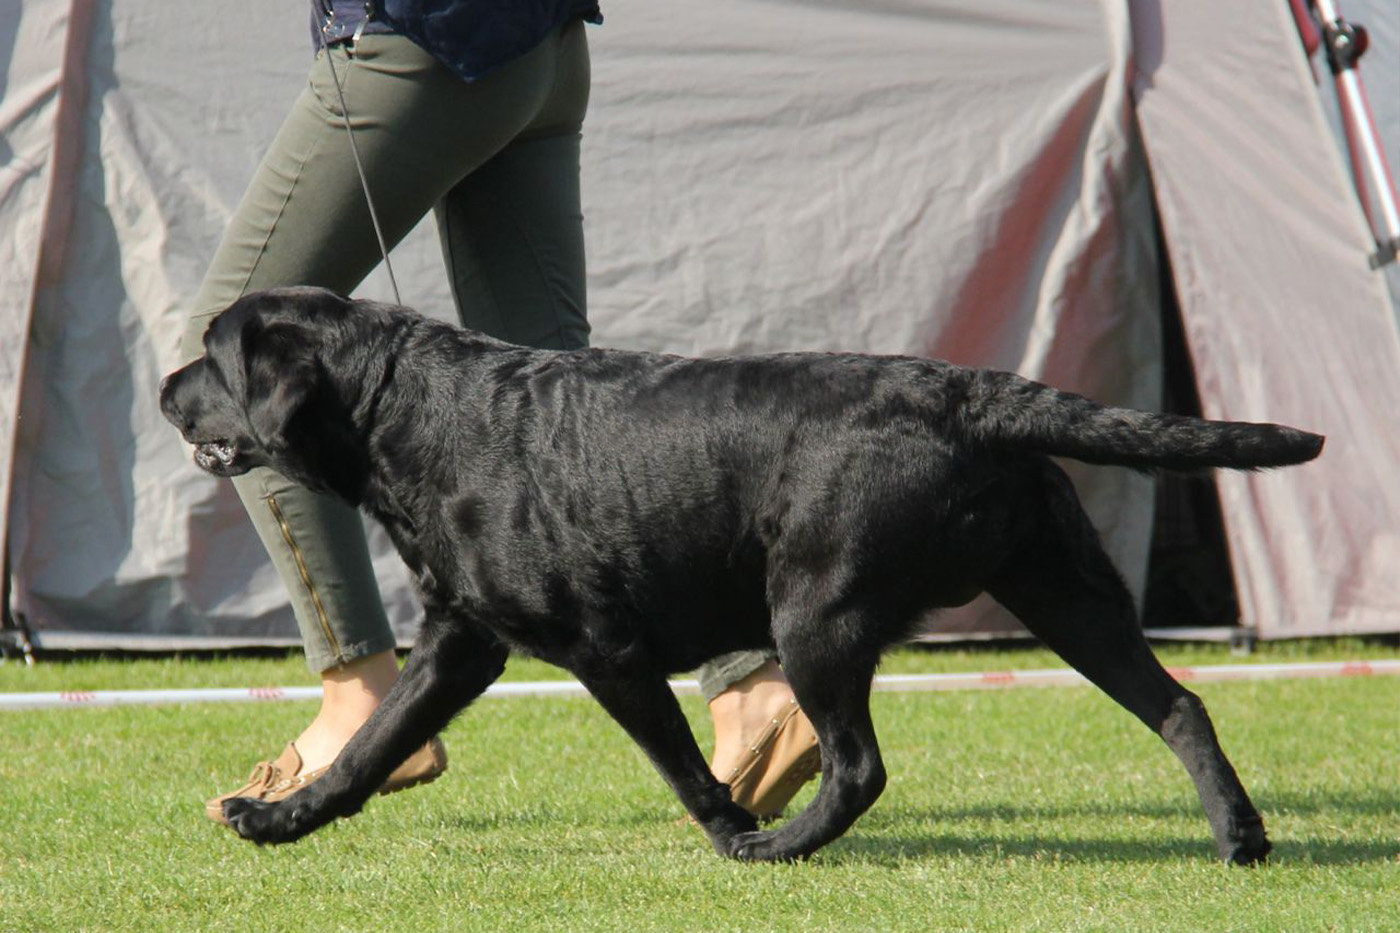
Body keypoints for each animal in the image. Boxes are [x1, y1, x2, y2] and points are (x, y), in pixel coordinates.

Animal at [158, 287, 1316, 862]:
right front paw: (277, 818)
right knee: (1179, 706)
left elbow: (678, 762)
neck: (410, 411)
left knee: (858, 766)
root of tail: (973, 391)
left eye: (214, 354)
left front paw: (728, 829)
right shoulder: (461, 640)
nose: (166, 389)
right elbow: (370, 748)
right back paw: (1239, 836)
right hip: (1065, 592)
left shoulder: (604, 648)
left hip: (814, 608)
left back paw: (781, 847)